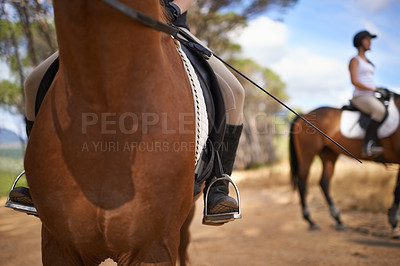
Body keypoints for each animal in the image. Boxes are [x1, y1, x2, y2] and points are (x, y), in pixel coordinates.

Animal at [290, 93, 400, 233]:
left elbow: (397, 188)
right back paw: (311, 221)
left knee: (324, 182)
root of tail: (304, 115)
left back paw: (338, 220)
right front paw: (393, 221)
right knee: (302, 183)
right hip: (307, 155)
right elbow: (398, 189)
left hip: (329, 155)